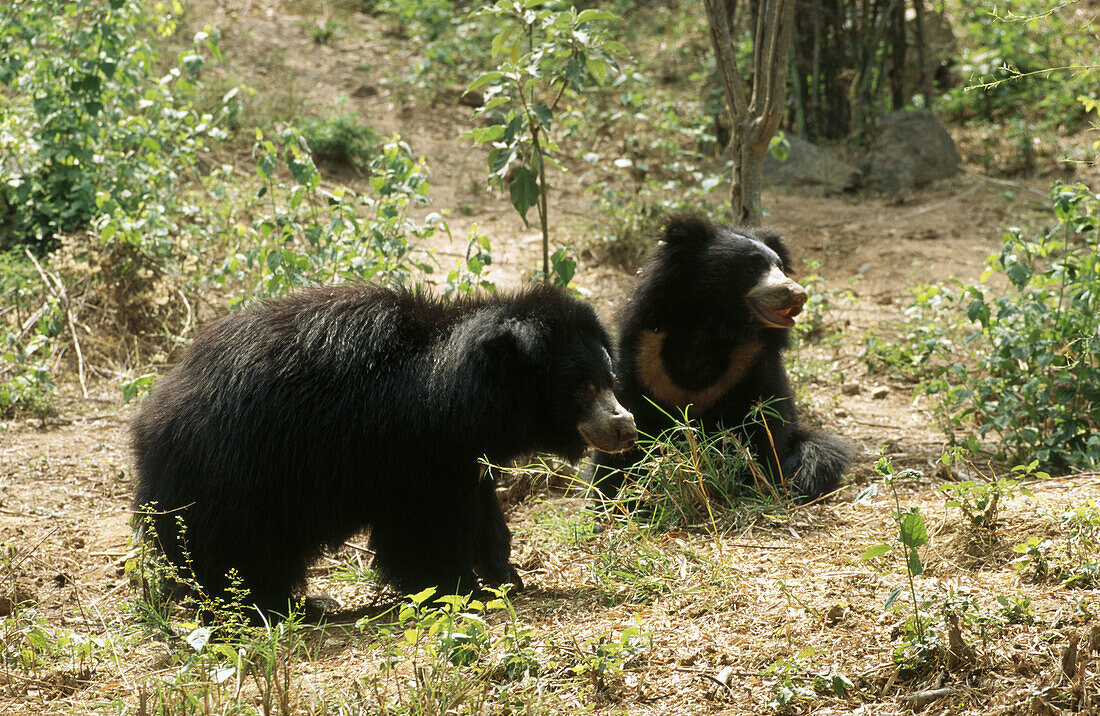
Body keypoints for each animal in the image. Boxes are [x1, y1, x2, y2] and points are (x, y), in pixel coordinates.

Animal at [130, 283, 638, 620]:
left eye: (609, 379)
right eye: (582, 388)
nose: (626, 426)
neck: (462, 399)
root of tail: (153, 417)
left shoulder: (463, 458)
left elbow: (484, 513)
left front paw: (506, 575)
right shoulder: (412, 452)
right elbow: (426, 529)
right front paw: (458, 588)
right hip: (236, 478)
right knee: (237, 551)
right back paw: (272, 605)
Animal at [589, 215, 853, 501]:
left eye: (780, 267)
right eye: (751, 267)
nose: (797, 294)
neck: (714, 327)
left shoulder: (751, 364)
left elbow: (764, 427)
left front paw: (757, 484)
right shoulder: (645, 361)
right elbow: (629, 427)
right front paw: (614, 494)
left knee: (817, 455)